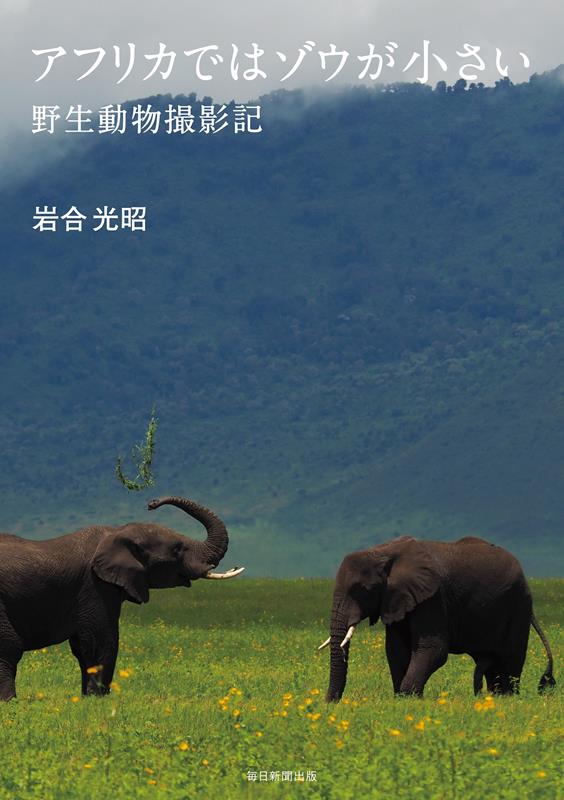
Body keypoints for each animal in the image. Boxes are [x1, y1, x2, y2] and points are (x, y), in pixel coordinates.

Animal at [0, 495, 244, 700]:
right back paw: (10, 701)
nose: (152, 503)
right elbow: (100, 640)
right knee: (9, 647)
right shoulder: (95, 585)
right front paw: (97, 699)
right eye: (177, 549)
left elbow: (83, 645)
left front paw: (88, 698)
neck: (116, 532)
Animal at [319, 536, 555, 701]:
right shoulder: (398, 598)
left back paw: (507, 699)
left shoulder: (433, 597)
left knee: (510, 658)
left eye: (362, 590)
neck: (383, 552)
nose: (330, 702)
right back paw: (492, 698)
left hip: (518, 605)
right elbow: (396, 650)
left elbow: (433, 648)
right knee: (490, 663)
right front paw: (402, 700)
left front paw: (409, 699)